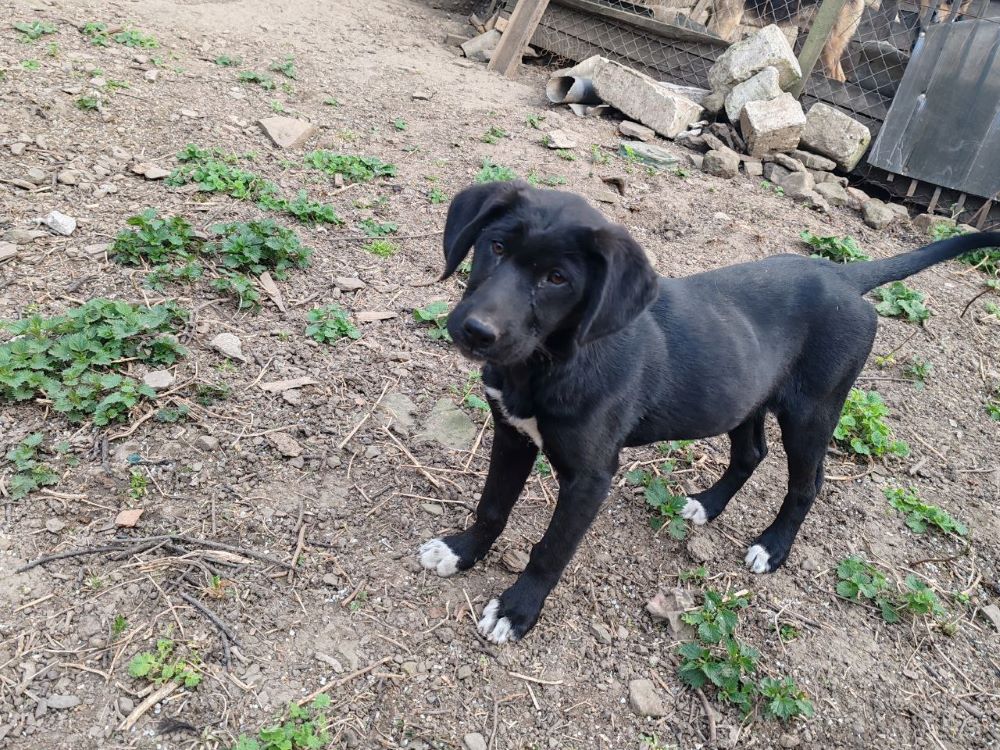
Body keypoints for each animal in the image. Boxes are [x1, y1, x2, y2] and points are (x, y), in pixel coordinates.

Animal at [418, 182, 996, 648]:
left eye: (557, 278)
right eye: (495, 247)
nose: (476, 331)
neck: (545, 365)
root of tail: (845, 276)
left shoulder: (590, 477)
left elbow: (551, 549)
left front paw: (518, 611)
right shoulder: (511, 434)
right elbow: (492, 506)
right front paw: (461, 551)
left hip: (813, 410)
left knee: (806, 484)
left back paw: (772, 548)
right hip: (746, 396)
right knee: (751, 453)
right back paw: (707, 506)